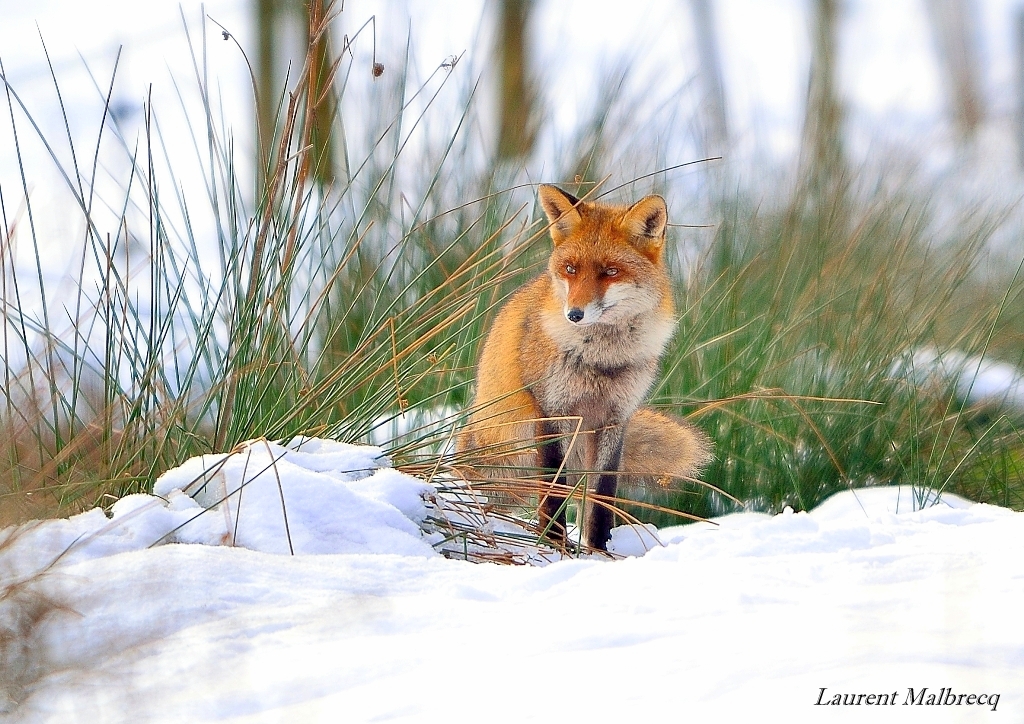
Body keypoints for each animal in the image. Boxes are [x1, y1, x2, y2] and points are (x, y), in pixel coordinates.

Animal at [458, 185, 712, 548]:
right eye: (570, 269)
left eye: (610, 271)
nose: (574, 314)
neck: (600, 360)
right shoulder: (552, 412)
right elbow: (554, 491)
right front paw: (555, 546)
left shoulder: (615, 418)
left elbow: (602, 496)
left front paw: (599, 549)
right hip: (504, 454)